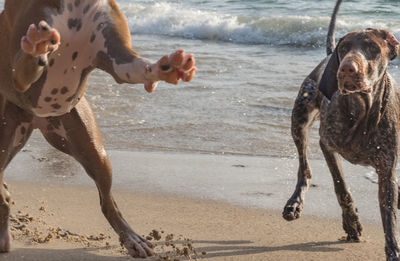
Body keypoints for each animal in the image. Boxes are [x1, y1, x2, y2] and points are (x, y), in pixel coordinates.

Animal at [0, 0, 197, 256]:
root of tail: (36, 120)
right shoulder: (18, 74)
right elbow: (26, 62)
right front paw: (37, 45)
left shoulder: (118, 58)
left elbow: (137, 66)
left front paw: (167, 66)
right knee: (3, 192)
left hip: (94, 152)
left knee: (107, 203)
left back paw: (132, 239)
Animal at [282, 1, 400, 258]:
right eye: (344, 48)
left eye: (372, 48)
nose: (347, 68)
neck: (362, 111)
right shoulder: (326, 144)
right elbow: (341, 187)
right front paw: (352, 223)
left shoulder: (387, 170)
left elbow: (389, 218)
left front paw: (393, 251)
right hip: (299, 120)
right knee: (304, 170)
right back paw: (294, 203)